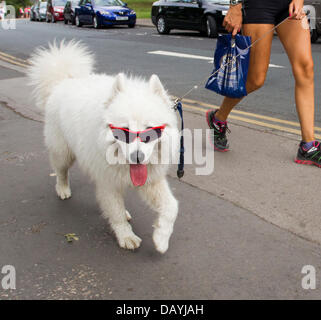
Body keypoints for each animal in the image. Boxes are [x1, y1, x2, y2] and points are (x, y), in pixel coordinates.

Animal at [28, 41, 179, 254]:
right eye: (124, 131)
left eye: (149, 131)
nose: (138, 157)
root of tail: (63, 81)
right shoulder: (108, 182)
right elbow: (115, 212)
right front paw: (126, 236)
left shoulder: (151, 180)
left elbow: (171, 207)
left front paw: (161, 238)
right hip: (63, 152)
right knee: (60, 171)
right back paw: (63, 189)